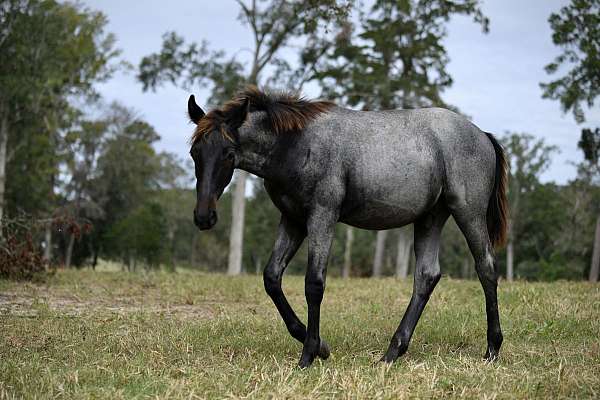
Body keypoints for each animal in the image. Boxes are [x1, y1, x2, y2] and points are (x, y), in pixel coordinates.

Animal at [186, 86, 506, 368]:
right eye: (194, 154)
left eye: (228, 153)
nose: (204, 217)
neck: (295, 145)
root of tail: (483, 135)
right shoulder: (292, 219)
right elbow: (272, 277)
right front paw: (319, 346)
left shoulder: (322, 216)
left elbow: (314, 284)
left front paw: (308, 356)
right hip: (430, 217)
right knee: (427, 275)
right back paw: (392, 353)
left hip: (468, 212)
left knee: (486, 267)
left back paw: (492, 349)